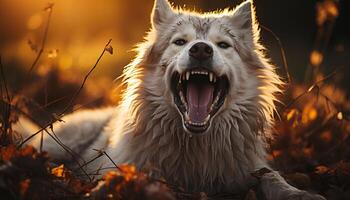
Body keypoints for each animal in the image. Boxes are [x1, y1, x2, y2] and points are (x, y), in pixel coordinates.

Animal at [15, 0, 326, 198]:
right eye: (180, 42)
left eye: (223, 45)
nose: (201, 49)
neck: (196, 148)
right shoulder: (121, 166)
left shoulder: (246, 168)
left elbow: (271, 176)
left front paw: (297, 193)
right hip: (58, 145)